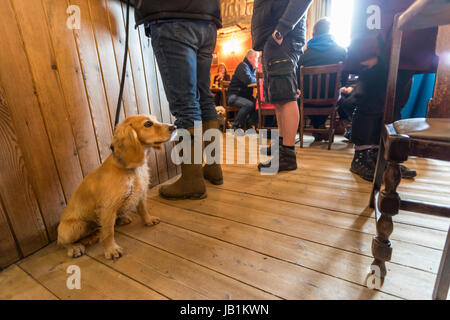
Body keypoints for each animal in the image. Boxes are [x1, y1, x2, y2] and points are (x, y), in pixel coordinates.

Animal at [56, 115, 176, 260]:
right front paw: (111, 250)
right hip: (74, 227)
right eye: (148, 124)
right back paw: (74, 248)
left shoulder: (141, 193)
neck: (130, 169)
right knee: (62, 242)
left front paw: (148, 220)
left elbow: (143, 209)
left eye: (155, 119)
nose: (174, 127)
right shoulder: (107, 208)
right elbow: (108, 232)